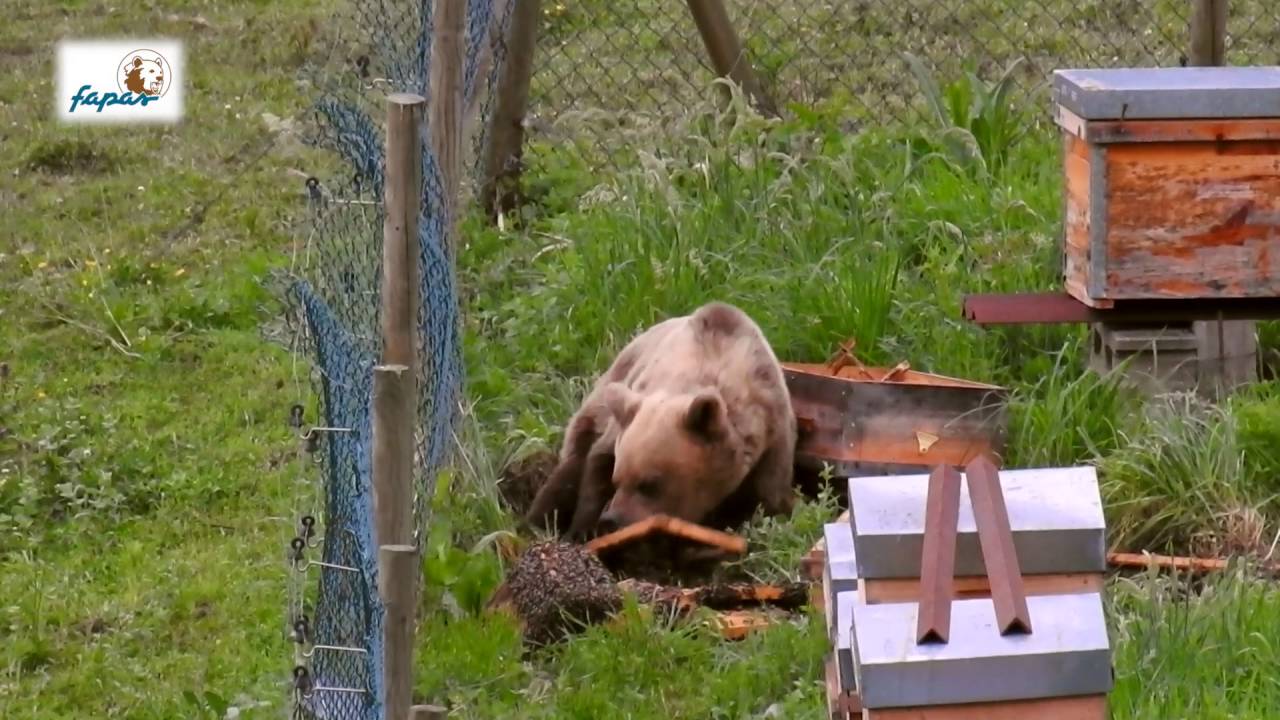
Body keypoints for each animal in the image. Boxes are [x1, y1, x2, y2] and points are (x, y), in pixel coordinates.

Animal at [524, 298, 793, 538]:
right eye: (617, 478)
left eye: (649, 484)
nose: (613, 519)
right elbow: (598, 463)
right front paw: (582, 531)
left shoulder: (773, 433)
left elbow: (766, 498)